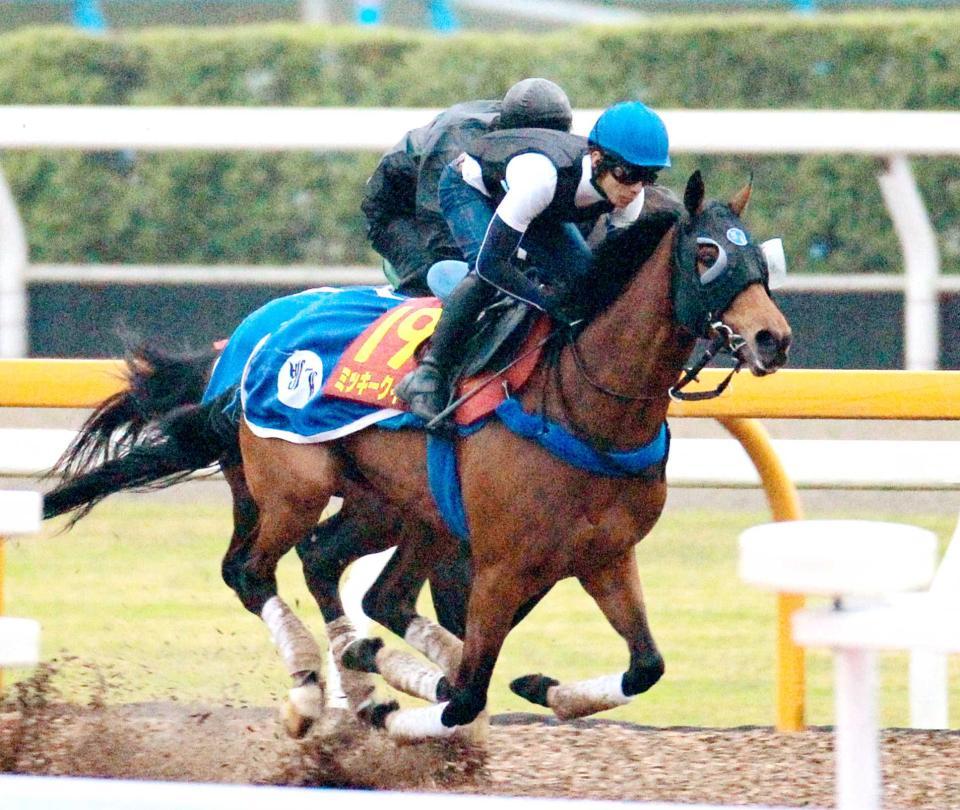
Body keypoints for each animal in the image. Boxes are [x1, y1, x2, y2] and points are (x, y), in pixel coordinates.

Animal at [43, 170, 788, 740]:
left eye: (761, 260)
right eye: (707, 254)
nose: (772, 338)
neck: (583, 403)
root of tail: (246, 345)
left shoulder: (605, 556)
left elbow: (644, 666)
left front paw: (538, 685)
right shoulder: (501, 565)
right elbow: (467, 693)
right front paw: (403, 704)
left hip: (394, 508)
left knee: (343, 573)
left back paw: (361, 668)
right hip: (292, 485)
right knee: (252, 572)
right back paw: (317, 690)